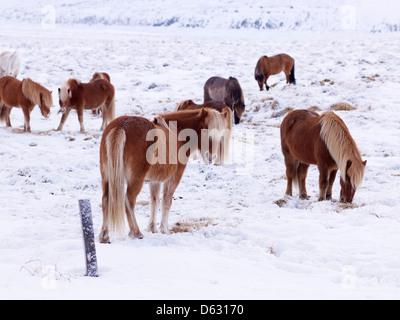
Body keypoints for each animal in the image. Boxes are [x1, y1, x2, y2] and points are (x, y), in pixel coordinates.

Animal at [99, 107, 230, 242]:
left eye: (220, 133)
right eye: (205, 130)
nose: (211, 157)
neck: (177, 133)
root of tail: (121, 126)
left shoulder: (155, 181)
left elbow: (154, 201)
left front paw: (152, 228)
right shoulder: (173, 178)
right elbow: (167, 201)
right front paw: (164, 229)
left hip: (107, 177)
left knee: (106, 200)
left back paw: (104, 235)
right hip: (135, 180)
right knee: (129, 202)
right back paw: (136, 232)